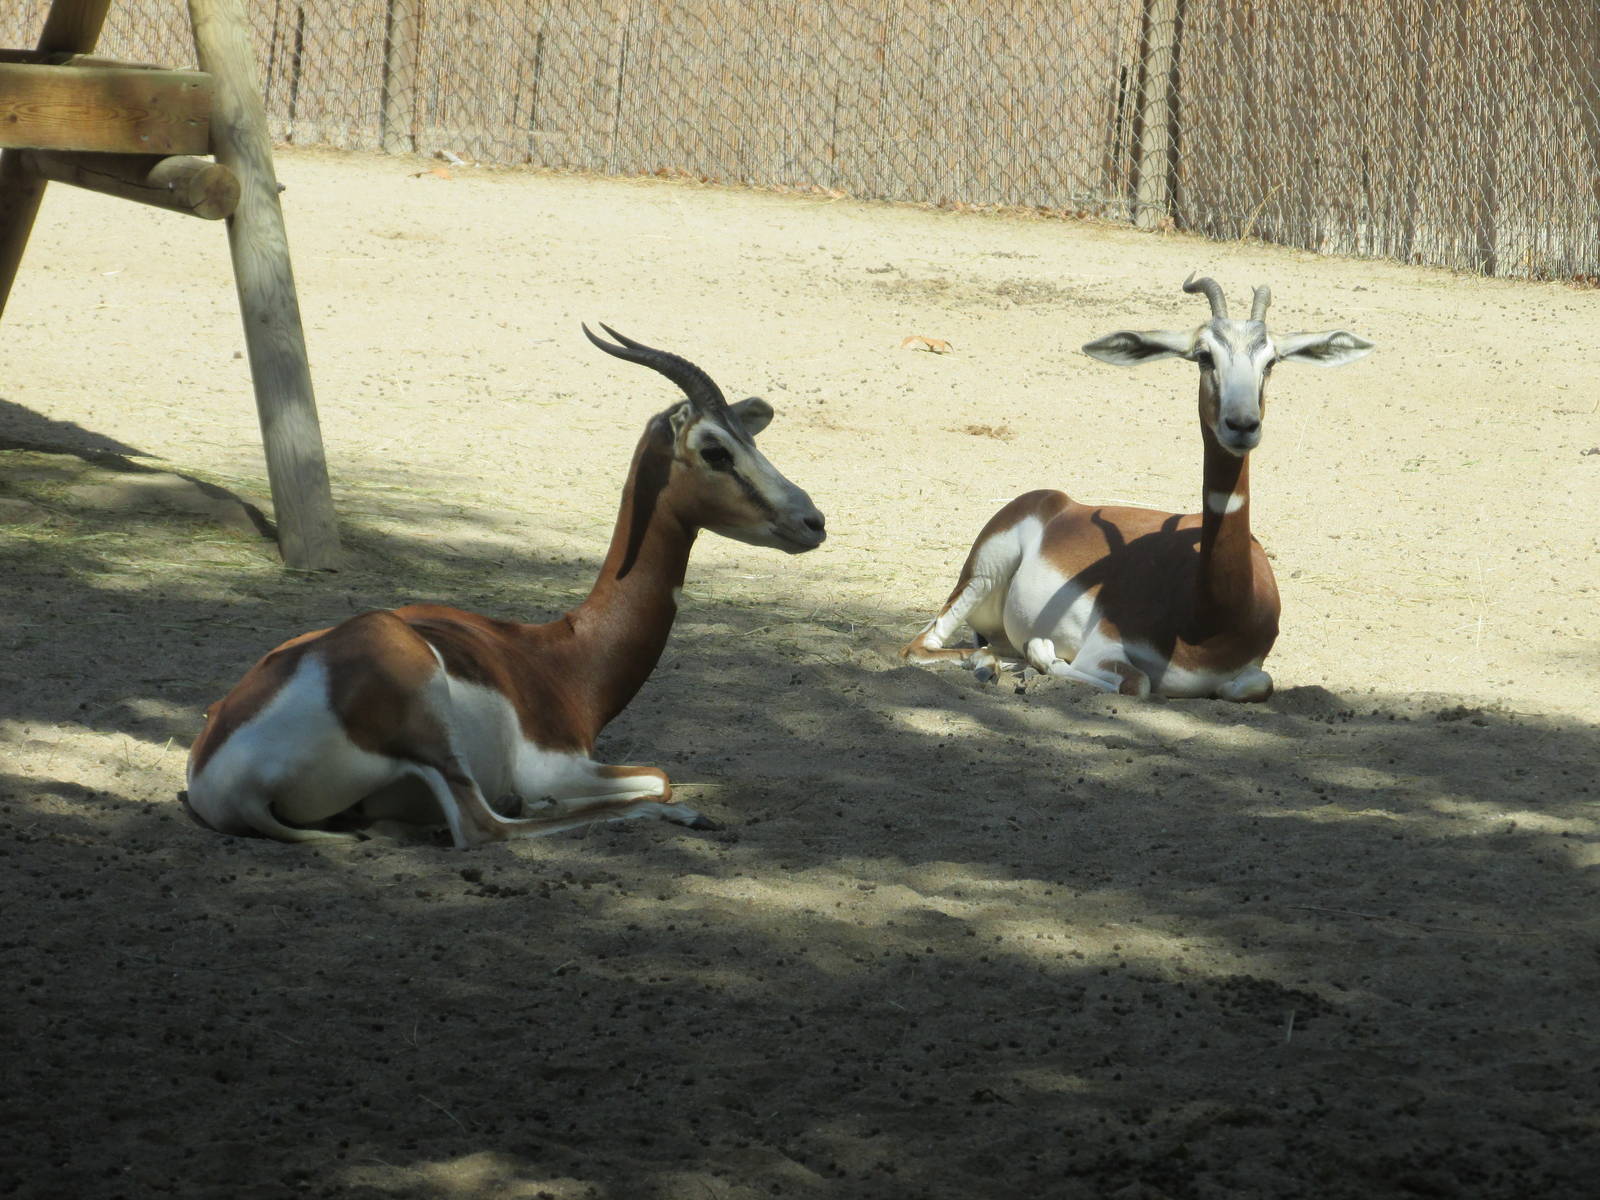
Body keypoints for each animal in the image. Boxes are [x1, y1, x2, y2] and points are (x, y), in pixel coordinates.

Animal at [182, 326, 826, 846]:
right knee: (484, 827)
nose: (812, 521)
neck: (560, 656)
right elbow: (659, 778)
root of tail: (227, 778)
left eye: (752, 439)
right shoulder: (555, 764)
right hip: (432, 729)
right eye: (715, 449)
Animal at [901, 275, 1372, 701]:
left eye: (1271, 361)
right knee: (920, 645)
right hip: (982, 576)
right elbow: (1137, 683)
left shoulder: (1248, 672)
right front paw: (1043, 657)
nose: (1242, 425)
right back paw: (990, 666)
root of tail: (1059, 503)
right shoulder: (1103, 648)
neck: (1210, 622)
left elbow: (1257, 686)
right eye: (1204, 356)